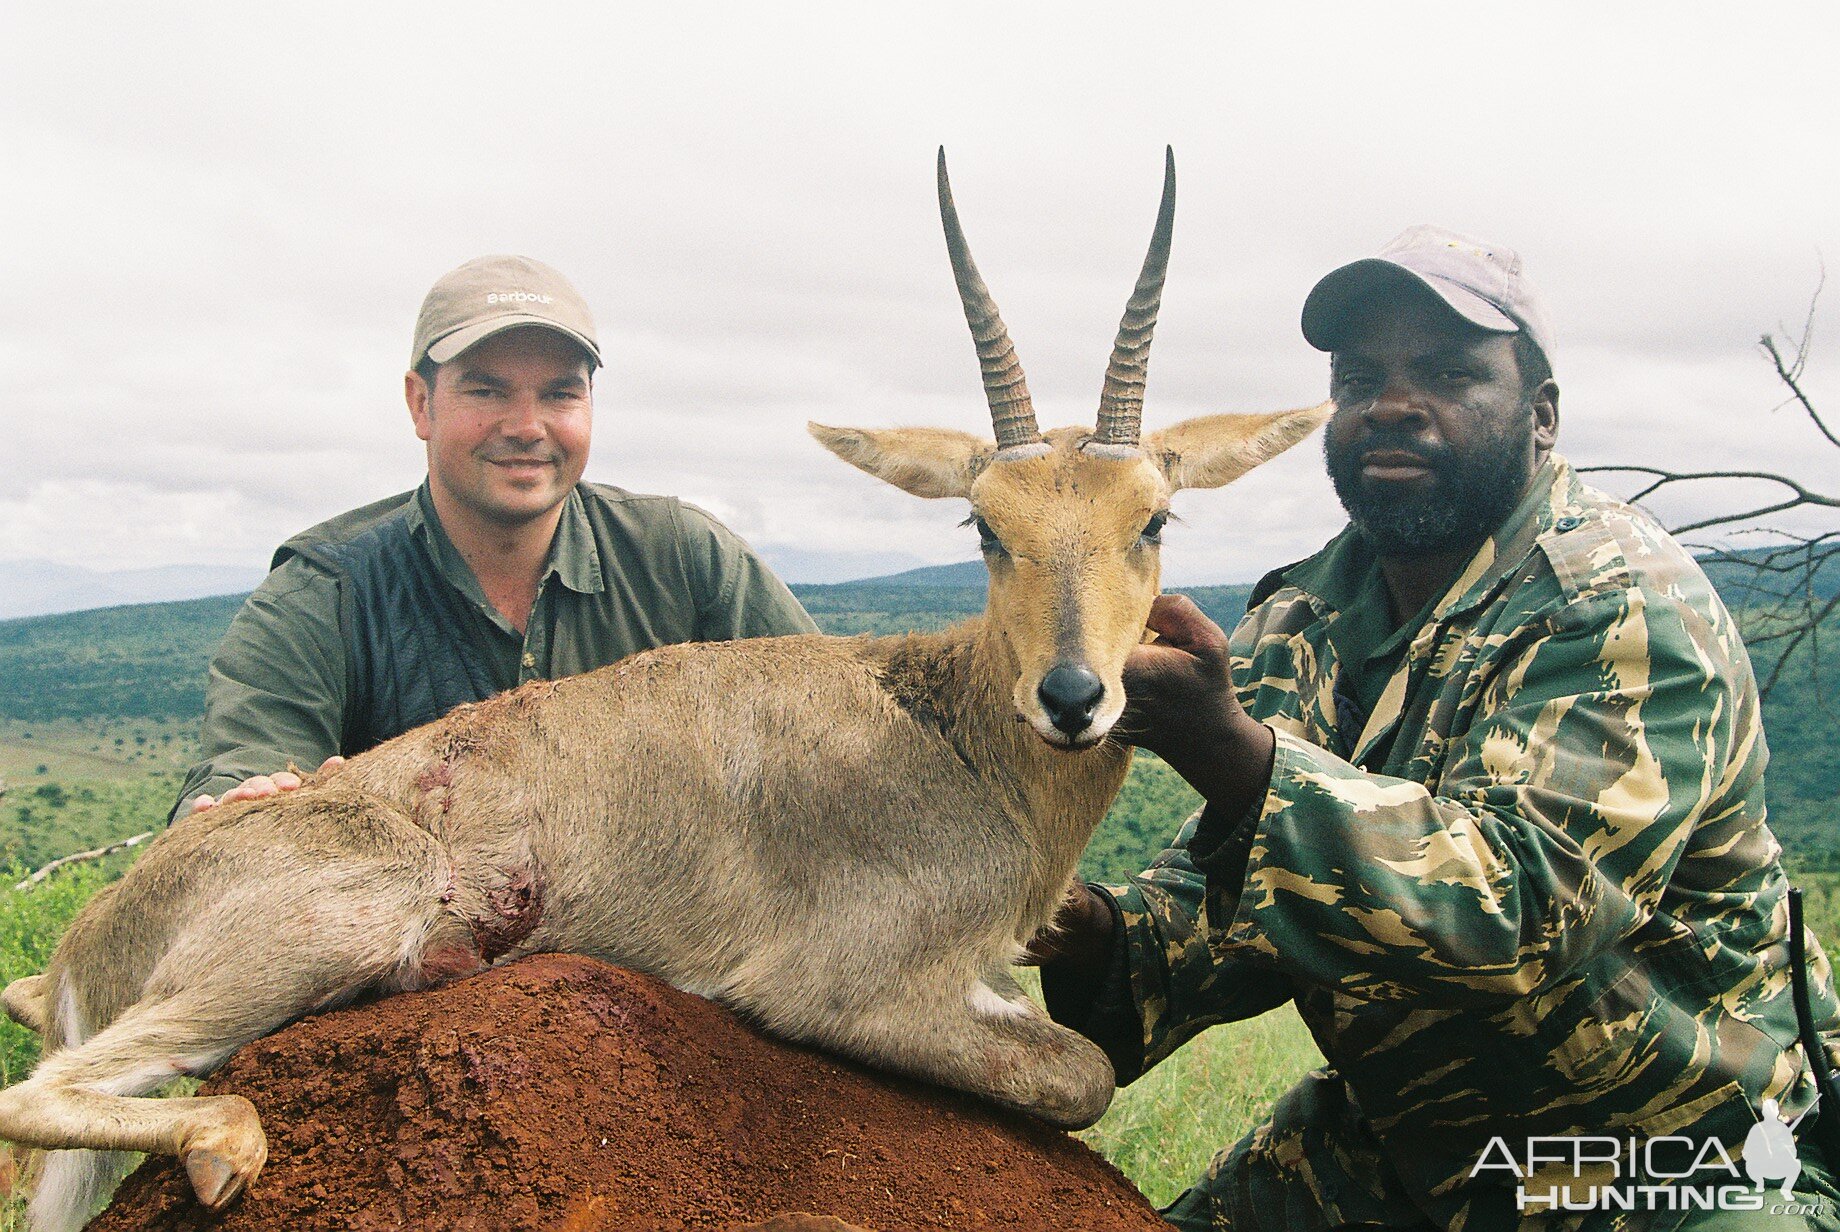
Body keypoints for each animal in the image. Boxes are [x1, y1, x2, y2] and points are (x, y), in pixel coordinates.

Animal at [0, 149, 1324, 1228]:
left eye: (1153, 517)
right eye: (982, 524)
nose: (1071, 696)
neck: (942, 727)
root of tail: (77, 950)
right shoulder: (839, 989)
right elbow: (1082, 1071)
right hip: (329, 924)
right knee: (45, 1091)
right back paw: (228, 1143)